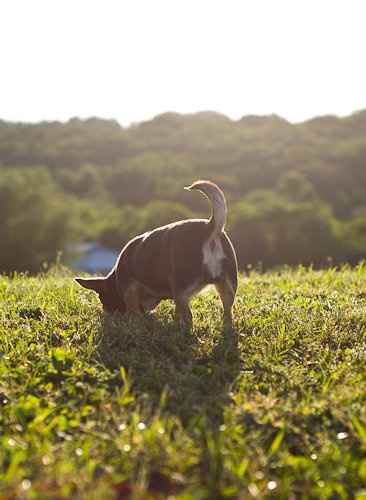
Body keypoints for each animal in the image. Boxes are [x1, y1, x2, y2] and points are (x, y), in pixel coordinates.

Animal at [76, 180, 239, 328]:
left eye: (103, 298)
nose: (106, 312)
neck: (115, 278)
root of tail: (210, 227)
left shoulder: (130, 291)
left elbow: (133, 311)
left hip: (181, 291)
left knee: (188, 317)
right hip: (227, 286)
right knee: (227, 312)